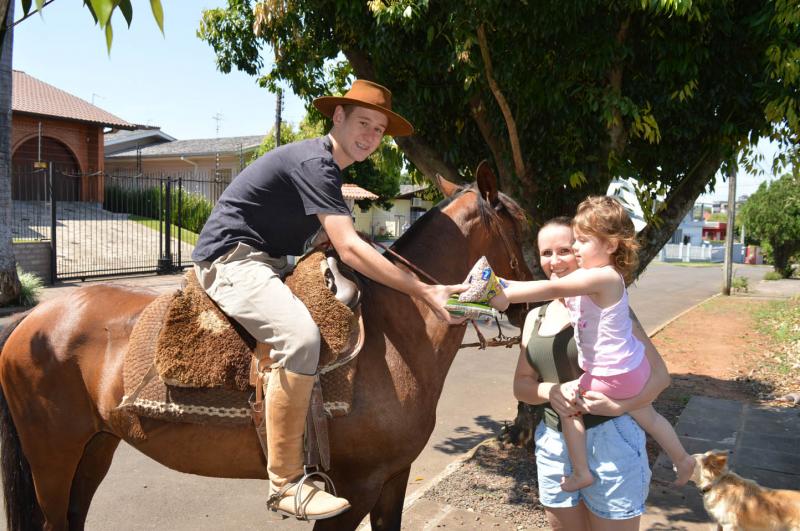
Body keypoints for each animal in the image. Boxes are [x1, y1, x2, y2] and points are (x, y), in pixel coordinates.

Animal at [3, 164, 536, 528]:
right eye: (522, 229)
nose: (528, 307)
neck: (398, 334)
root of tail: (32, 317)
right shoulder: (356, 489)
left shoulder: (394, 479)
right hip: (52, 458)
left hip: (95, 448)